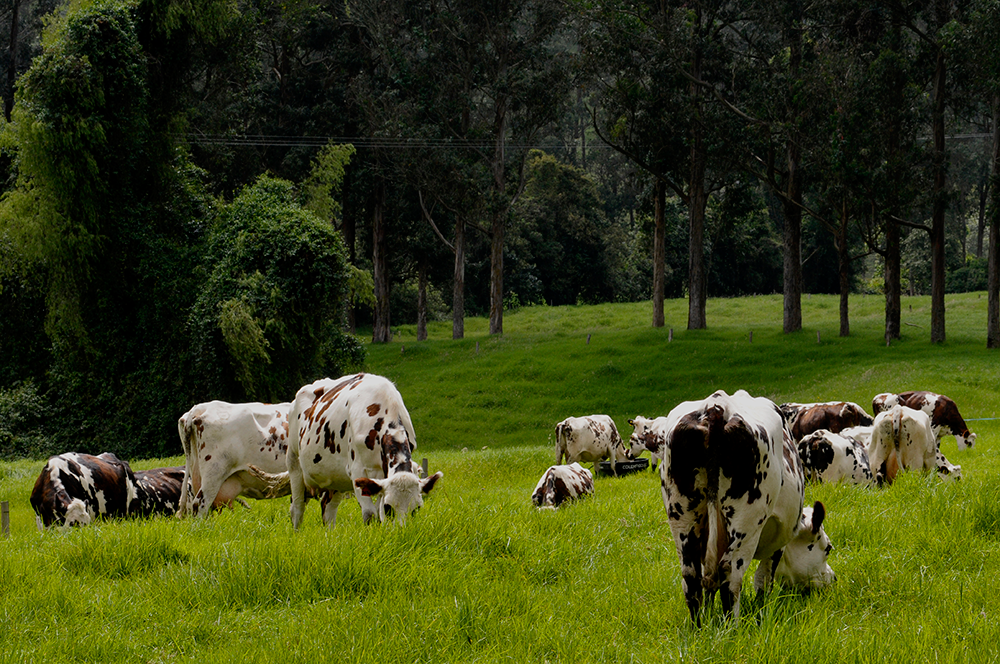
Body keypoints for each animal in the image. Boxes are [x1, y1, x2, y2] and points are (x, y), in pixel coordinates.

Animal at [288, 370, 444, 528]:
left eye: (416, 509)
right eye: (388, 508)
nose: (402, 530)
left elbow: (378, 513)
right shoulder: (357, 470)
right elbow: (370, 514)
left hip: (335, 477)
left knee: (328, 508)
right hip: (294, 463)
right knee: (297, 508)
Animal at [660, 390, 832, 624]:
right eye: (828, 548)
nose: (832, 578)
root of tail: (716, 406)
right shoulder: (779, 541)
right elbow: (763, 579)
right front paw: (762, 610)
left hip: (683, 517)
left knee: (692, 577)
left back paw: (700, 627)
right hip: (748, 521)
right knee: (730, 570)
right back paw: (732, 626)